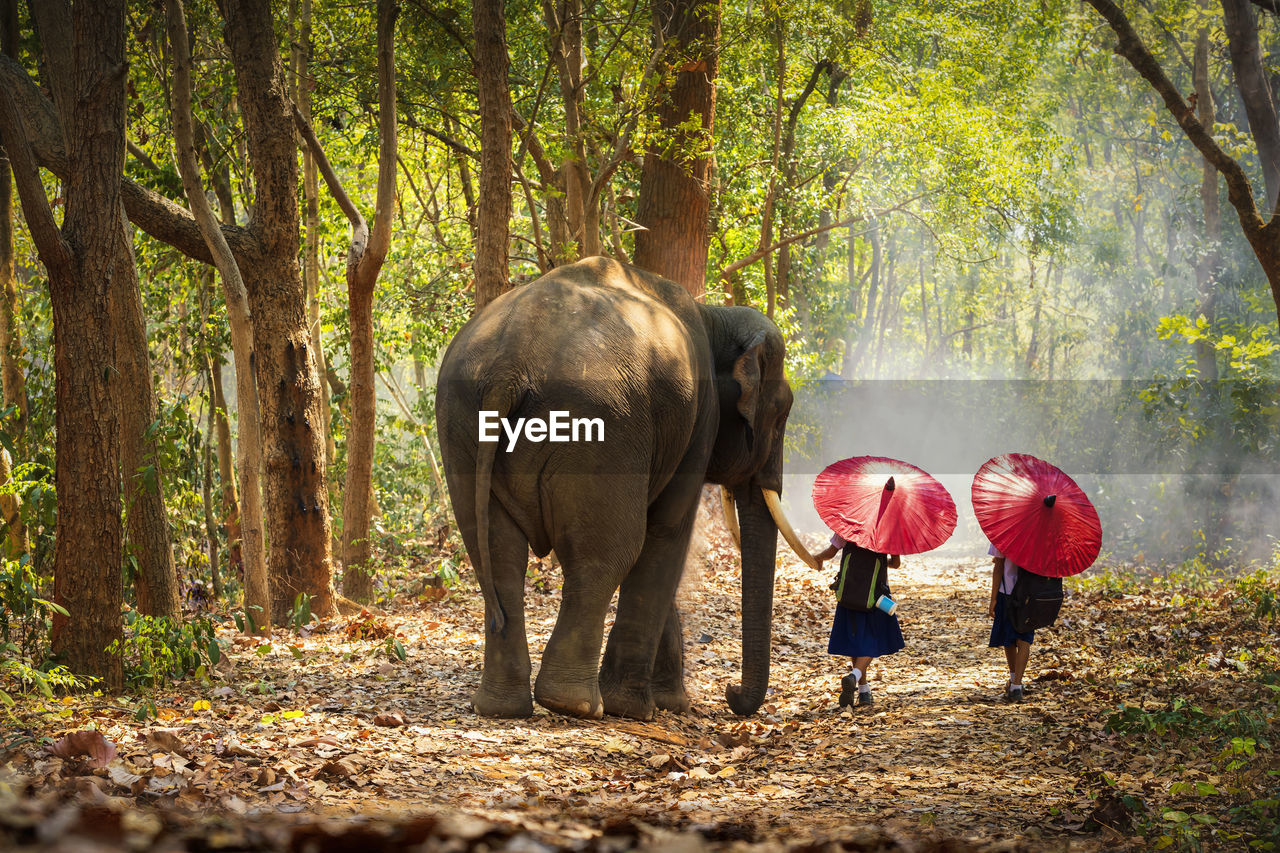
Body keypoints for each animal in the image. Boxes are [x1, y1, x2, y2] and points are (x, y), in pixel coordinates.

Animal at [440, 253, 814, 717]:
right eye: (780, 417)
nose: (730, 693)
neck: (714, 318)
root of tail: (507, 367)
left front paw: (670, 703)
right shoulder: (699, 423)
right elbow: (668, 533)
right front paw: (639, 709)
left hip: (462, 426)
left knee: (496, 552)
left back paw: (501, 707)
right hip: (602, 428)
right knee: (607, 554)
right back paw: (577, 705)